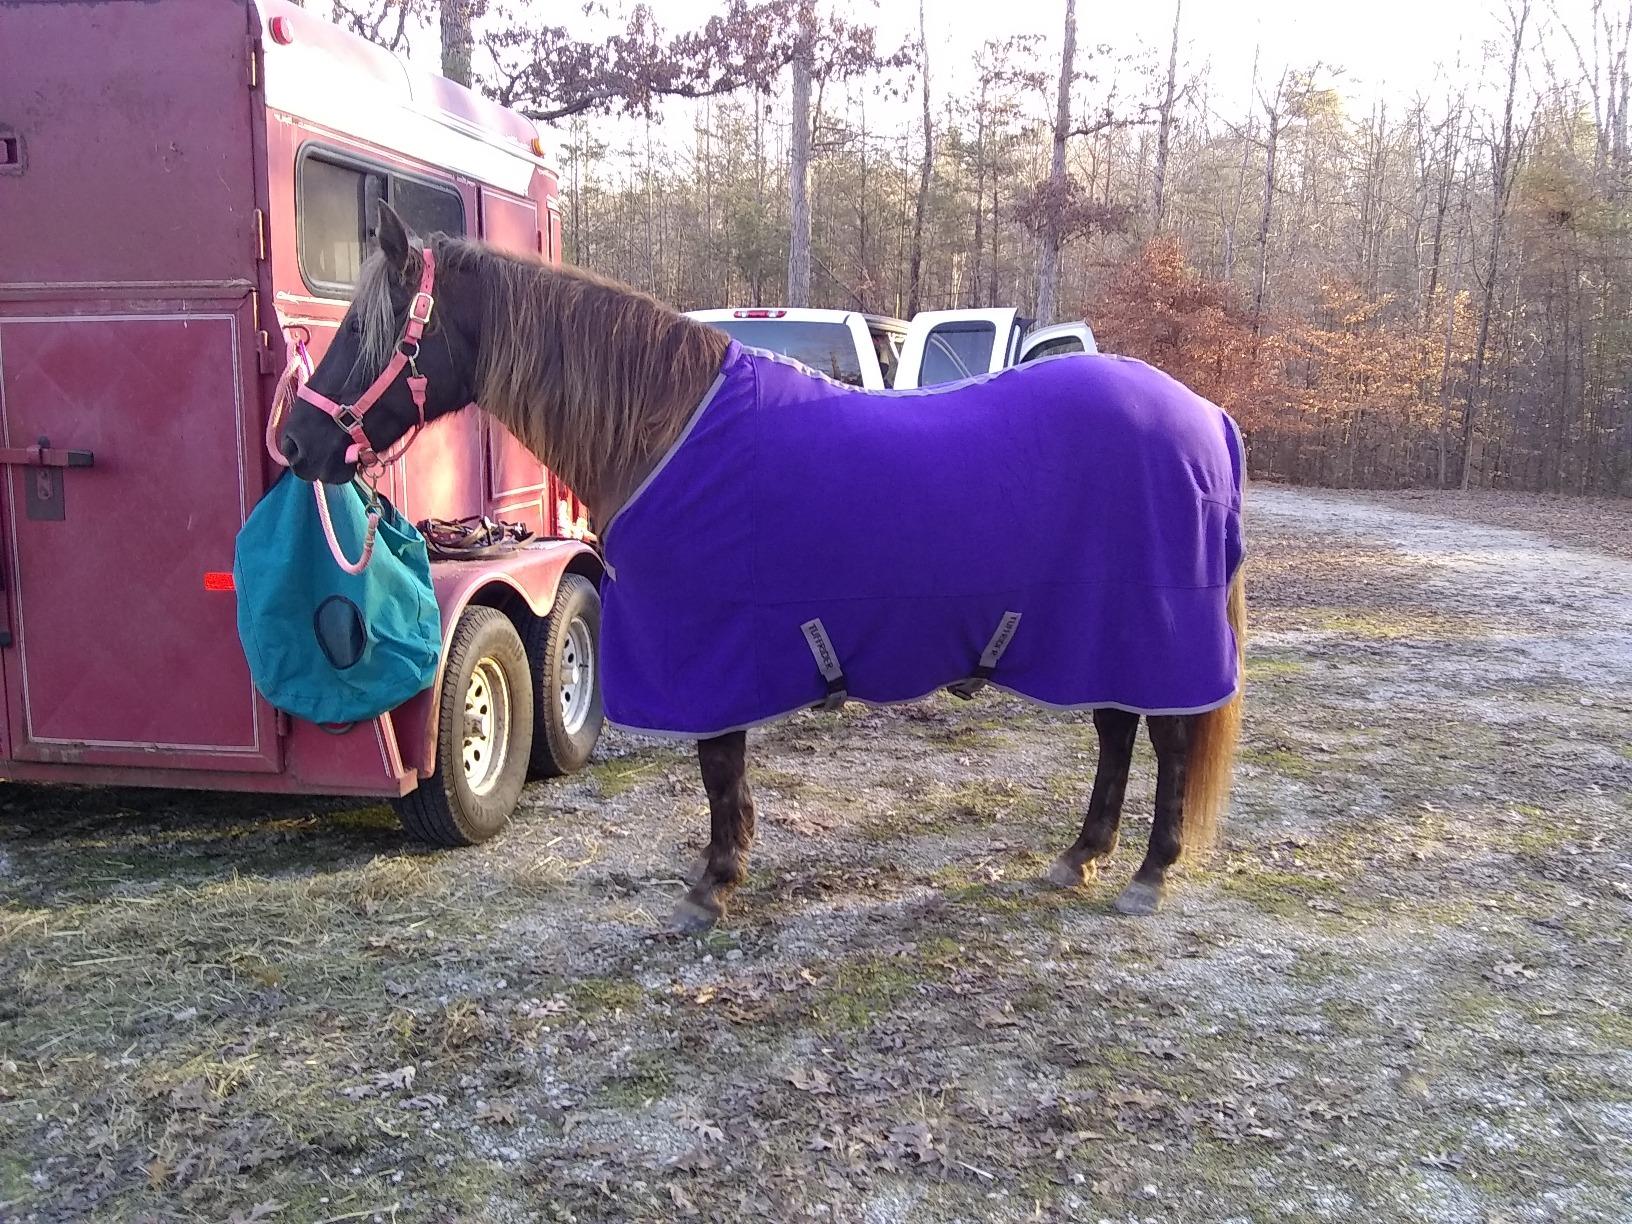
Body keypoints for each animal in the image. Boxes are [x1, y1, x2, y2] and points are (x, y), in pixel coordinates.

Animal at [278, 203, 1246, 934]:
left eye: (364, 330)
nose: (295, 441)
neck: (665, 428)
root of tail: (1205, 416)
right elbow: (727, 769)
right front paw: (727, 869)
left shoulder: (715, 649)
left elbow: (717, 766)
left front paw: (712, 884)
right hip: (1104, 631)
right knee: (1118, 733)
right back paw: (1080, 857)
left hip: (1150, 628)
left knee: (1164, 739)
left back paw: (1148, 874)